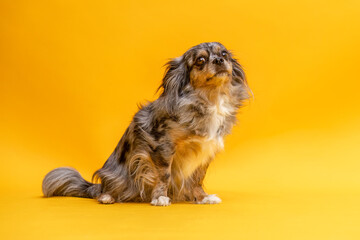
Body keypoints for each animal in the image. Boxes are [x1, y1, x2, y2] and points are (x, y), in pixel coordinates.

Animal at [42, 42, 250, 205]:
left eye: (224, 54)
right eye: (200, 60)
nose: (219, 60)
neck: (209, 99)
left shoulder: (204, 152)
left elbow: (197, 178)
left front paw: (202, 197)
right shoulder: (163, 146)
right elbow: (164, 174)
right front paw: (160, 197)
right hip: (118, 175)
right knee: (106, 190)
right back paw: (107, 197)